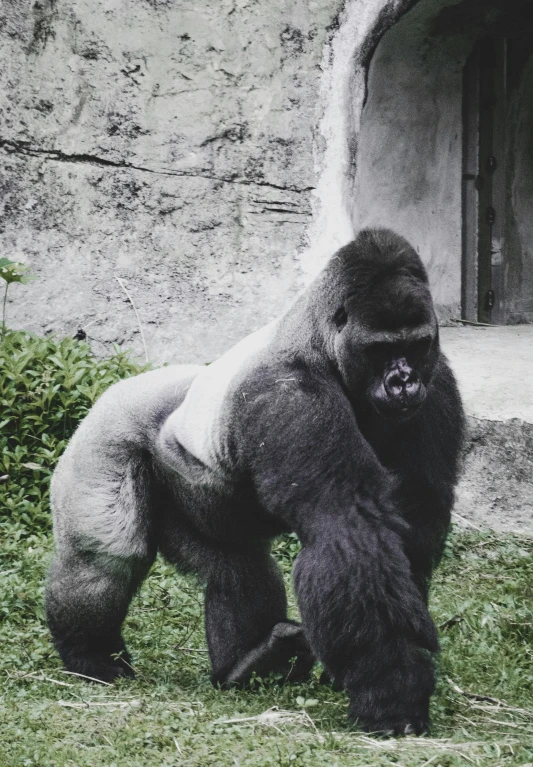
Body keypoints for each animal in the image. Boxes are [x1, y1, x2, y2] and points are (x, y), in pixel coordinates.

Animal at [45, 230, 464, 736]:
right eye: (380, 349)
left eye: (416, 344)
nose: (403, 382)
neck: (320, 341)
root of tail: (121, 386)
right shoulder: (292, 395)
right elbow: (346, 529)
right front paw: (392, 689)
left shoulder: (437, 381)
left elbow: (416, 522)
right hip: (106, 435)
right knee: (104, 556)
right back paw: (90, 655)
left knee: (236, 566)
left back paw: (248, 663)